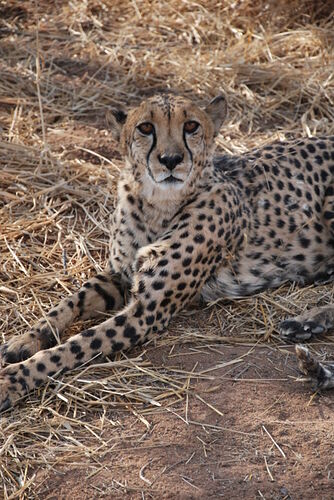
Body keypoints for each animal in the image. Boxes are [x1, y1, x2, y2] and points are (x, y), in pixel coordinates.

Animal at [0, 93, 334, 410]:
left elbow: (73, 346)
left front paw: (14, 380)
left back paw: (307, 323)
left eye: (192, 126)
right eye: (146, 128)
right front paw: (24, 339)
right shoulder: (119, 276)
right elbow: (68, 303)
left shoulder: (146, 312)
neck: (158, 205)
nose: (171, 159)